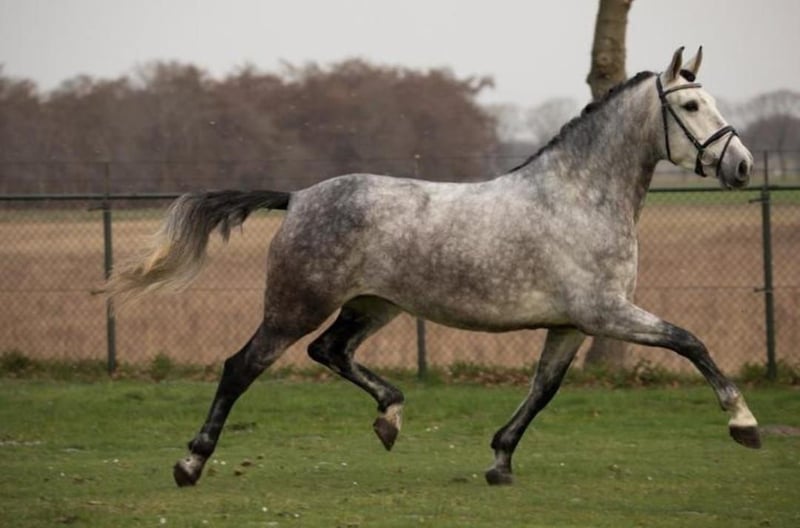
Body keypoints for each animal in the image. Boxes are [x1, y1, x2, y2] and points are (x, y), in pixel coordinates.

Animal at [108, 47, 761, 488]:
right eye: (692, 105)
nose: (742, 167)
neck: (579, 197)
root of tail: (298, 198)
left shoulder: (571, 325)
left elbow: (544, 388)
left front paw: (500, 459)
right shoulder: (607, 314)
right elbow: (690, 341)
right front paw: (743, 423)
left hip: (373, 307)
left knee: (330, 351)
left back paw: (390, 418)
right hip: (296, 307)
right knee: (241, 367)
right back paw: (190, 462)